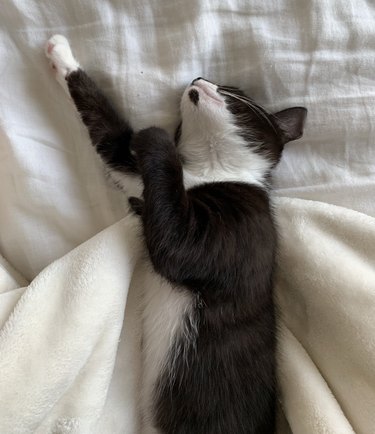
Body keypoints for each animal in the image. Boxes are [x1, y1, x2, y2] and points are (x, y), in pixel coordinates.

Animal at [45, 34, 306, 434]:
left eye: (234, 91)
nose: (198, 78)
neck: (208, 169)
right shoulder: (135, 173)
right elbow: (109, 137)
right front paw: (62, 56)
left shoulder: (246, 226)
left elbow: (177, 250)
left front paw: (157, 137)